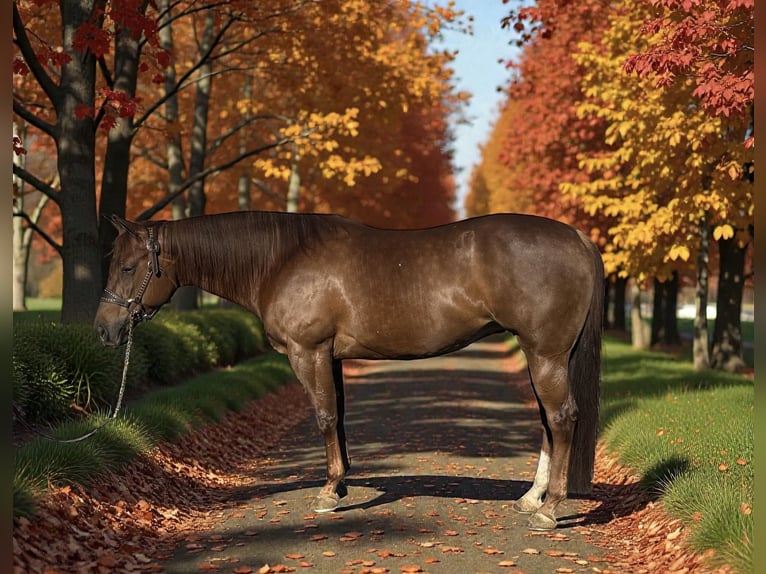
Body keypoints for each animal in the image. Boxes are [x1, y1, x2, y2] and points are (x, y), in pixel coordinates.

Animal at [94, 210, 604, 530]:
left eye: (128, 267)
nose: (103, 330)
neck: (282, 259)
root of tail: (576, 237)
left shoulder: (309, 352)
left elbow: (323, 417)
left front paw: (327, 492)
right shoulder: (331, 357)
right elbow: (337, 416)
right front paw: (340, 486)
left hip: (545, 354)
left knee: (562, 419)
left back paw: (550, 509)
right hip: (543, 355)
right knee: (548, 423)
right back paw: (531, 498)